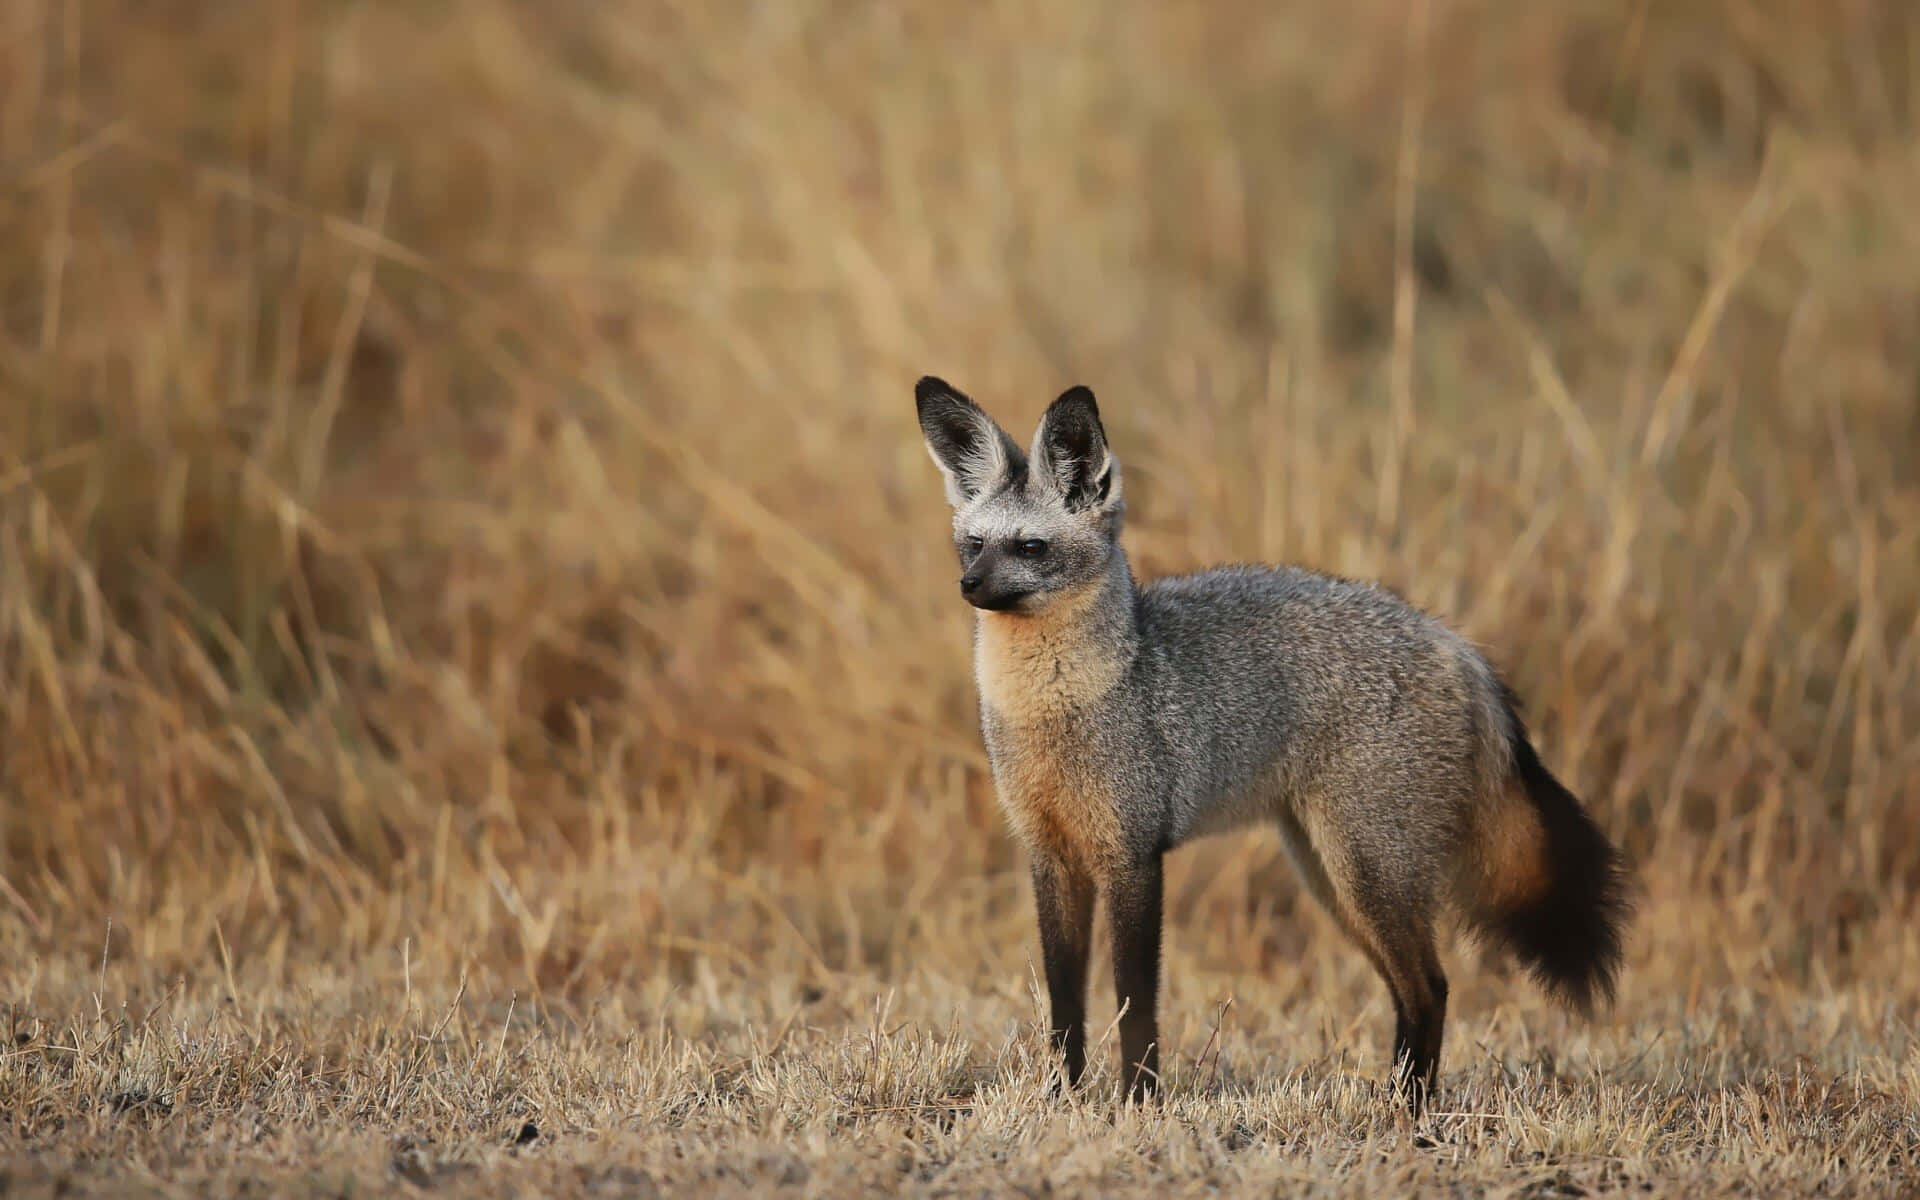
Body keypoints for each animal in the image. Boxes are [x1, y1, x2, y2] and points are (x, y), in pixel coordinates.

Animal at [917, 372, 1635, 1105]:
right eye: (974, 543)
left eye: (1029, 547)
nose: (968, 586)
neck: (1053, 709)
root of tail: (1458, 646)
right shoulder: (1050, 858)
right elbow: (1065, 1006)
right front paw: (1063, 1098)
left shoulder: (1133, 857)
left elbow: (1134, 1003)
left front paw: (1140, 1100)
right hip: (1332, 877)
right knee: (1413, 990)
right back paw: (1396, 1100)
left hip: (1365, 872)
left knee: (1432, 986)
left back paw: (1408, 1110)